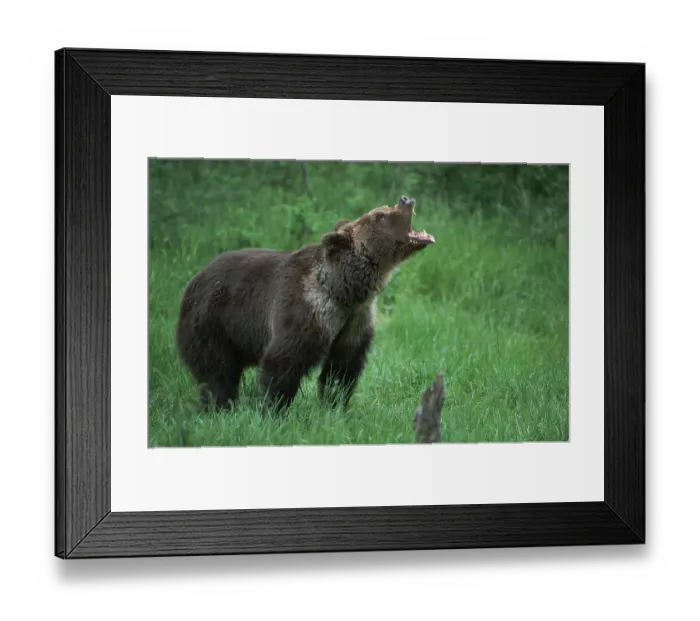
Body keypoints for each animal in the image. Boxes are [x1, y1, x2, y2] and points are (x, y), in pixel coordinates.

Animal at [175, 195, 435, 412]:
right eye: (380, 215)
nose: (405, 199)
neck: (343, 290)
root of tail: (193, 279)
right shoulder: (304, 309)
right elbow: (283, 361)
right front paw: (275, 409)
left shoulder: (355, 320)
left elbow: (342, 369)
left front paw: (335, 405)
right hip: (213, 320)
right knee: (217, 370)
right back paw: (221, 406)